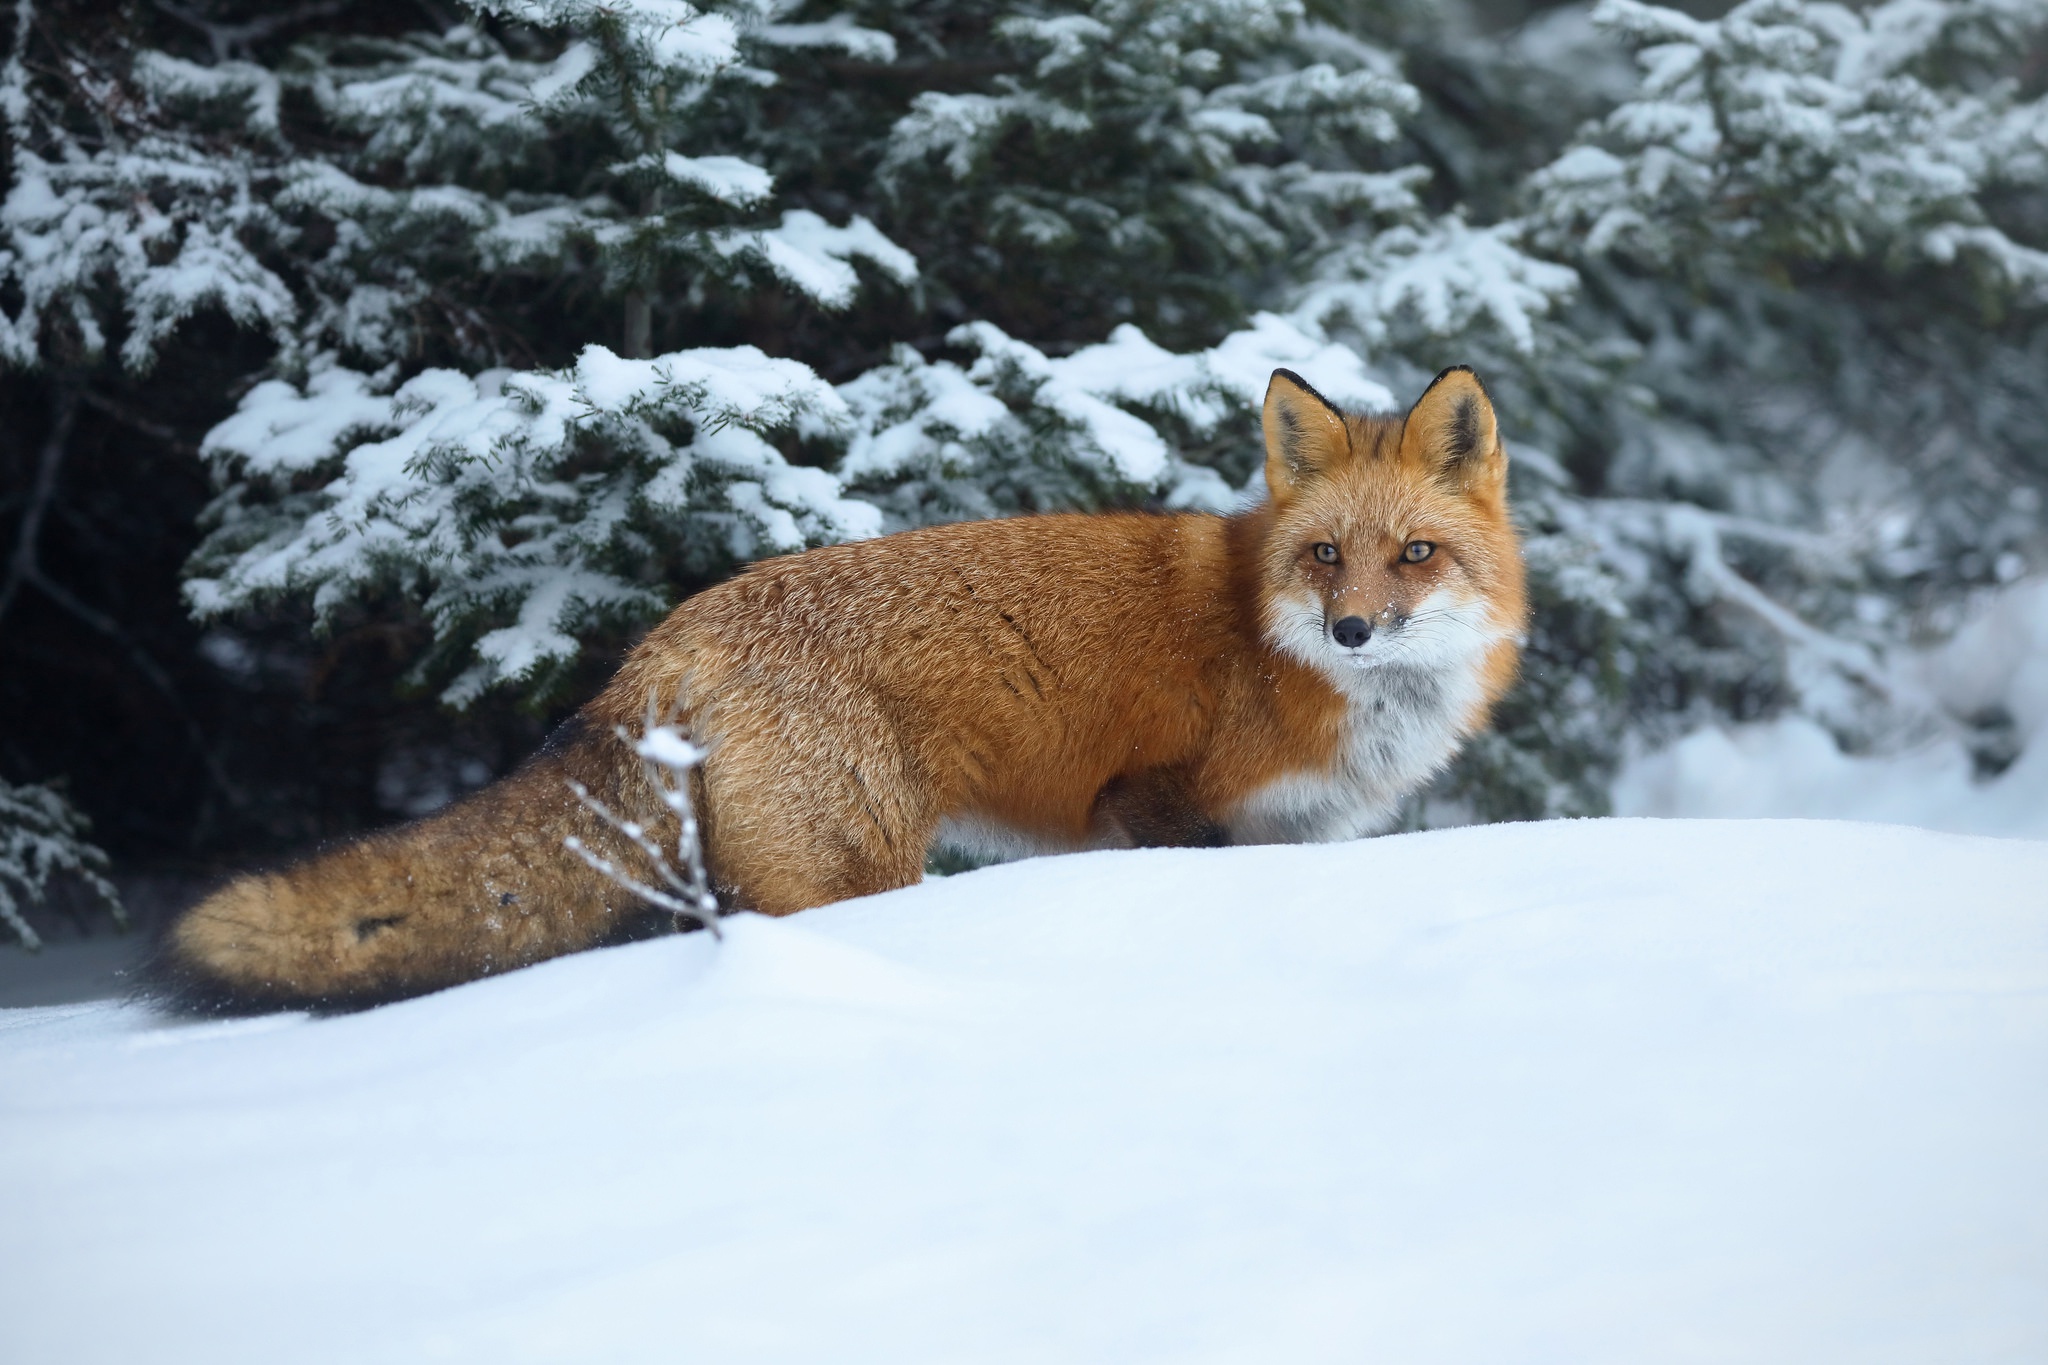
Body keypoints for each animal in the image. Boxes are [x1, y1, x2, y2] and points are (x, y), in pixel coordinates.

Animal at [167, 368, 1531, 1010]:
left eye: (1413, 555)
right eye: (1324, 556)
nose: (1352, 629)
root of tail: (672, 631)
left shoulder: (1289, 836)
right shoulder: (1150, 801)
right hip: (853, 869)